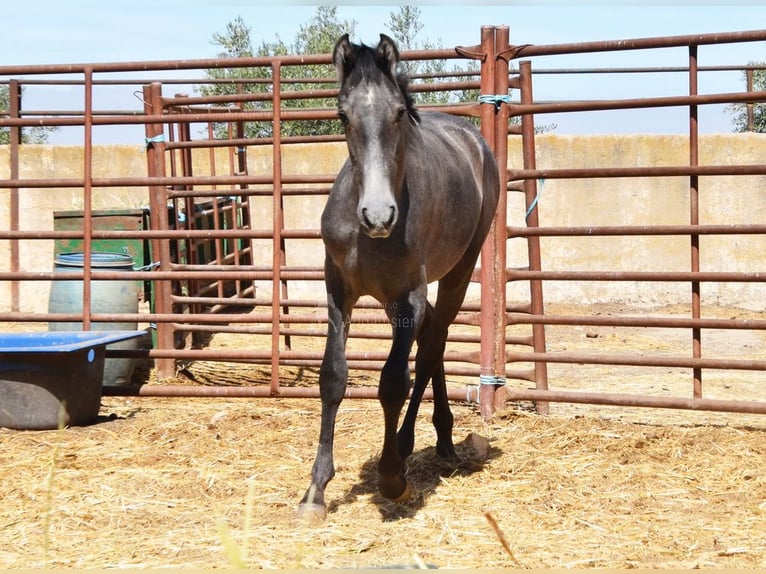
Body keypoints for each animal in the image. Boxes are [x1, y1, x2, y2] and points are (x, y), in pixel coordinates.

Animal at [300, 35, 504, 520]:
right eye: (342, 114)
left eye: (397, 112)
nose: (378, 215)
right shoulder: (339, 291)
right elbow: (332, 377)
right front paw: (316, 490)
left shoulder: (409, 293)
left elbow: (394, 382)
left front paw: (392, 478)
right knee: (432, 336)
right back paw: (440, 439)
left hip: (457, 270)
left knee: (431, 345)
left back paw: (415, 443)